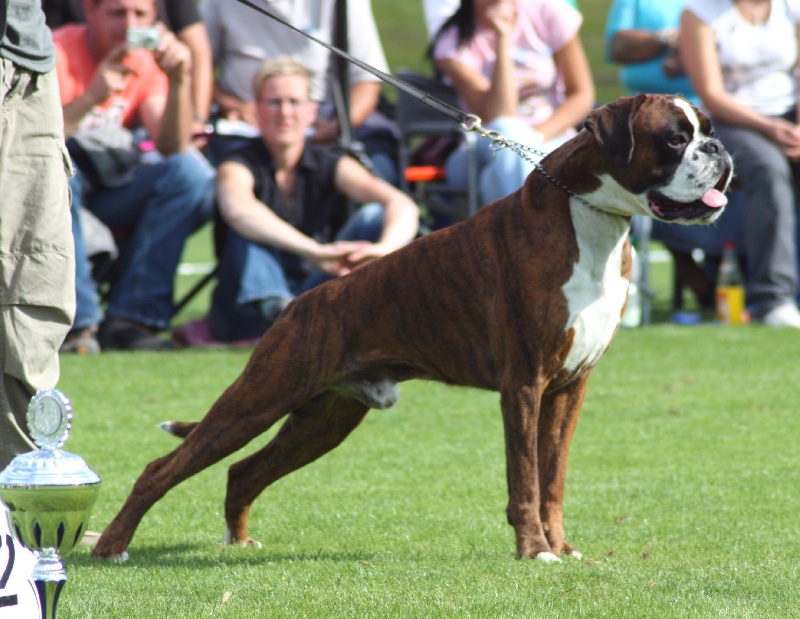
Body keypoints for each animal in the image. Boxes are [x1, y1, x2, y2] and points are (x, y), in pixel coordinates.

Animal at [92, 94, 732, 564]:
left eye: (706, 130)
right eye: (675, 138)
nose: (719, 147)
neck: (589, 219)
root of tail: (303, 301)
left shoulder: (569, 389)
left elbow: (552, 480)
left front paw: (563, 547)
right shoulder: (524, 384)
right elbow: (524, 479)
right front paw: (534, 552)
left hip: (322, 421)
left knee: (243, 471)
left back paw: (240, 541)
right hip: (259, 398)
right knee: (162, 469)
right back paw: (110, 547)